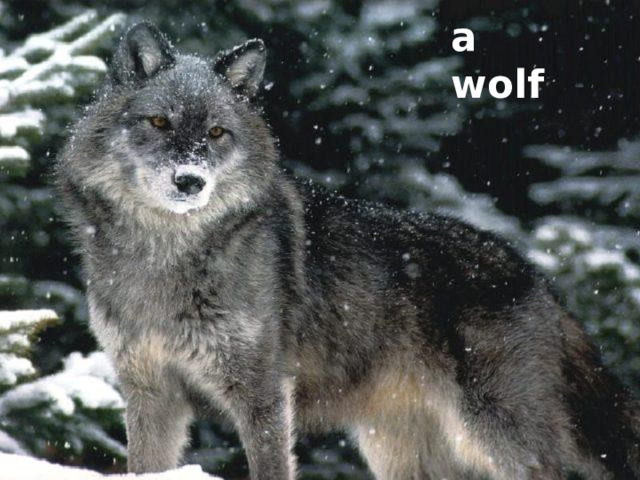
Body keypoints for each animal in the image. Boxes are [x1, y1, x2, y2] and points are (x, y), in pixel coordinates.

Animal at [55, 22, 640, 480]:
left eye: (218, 132)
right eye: (160, 122)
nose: (190, 181)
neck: (165, 257)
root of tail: (538, 277)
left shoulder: (263, 392)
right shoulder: (150, 392)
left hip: (499, 434)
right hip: (399, 451)